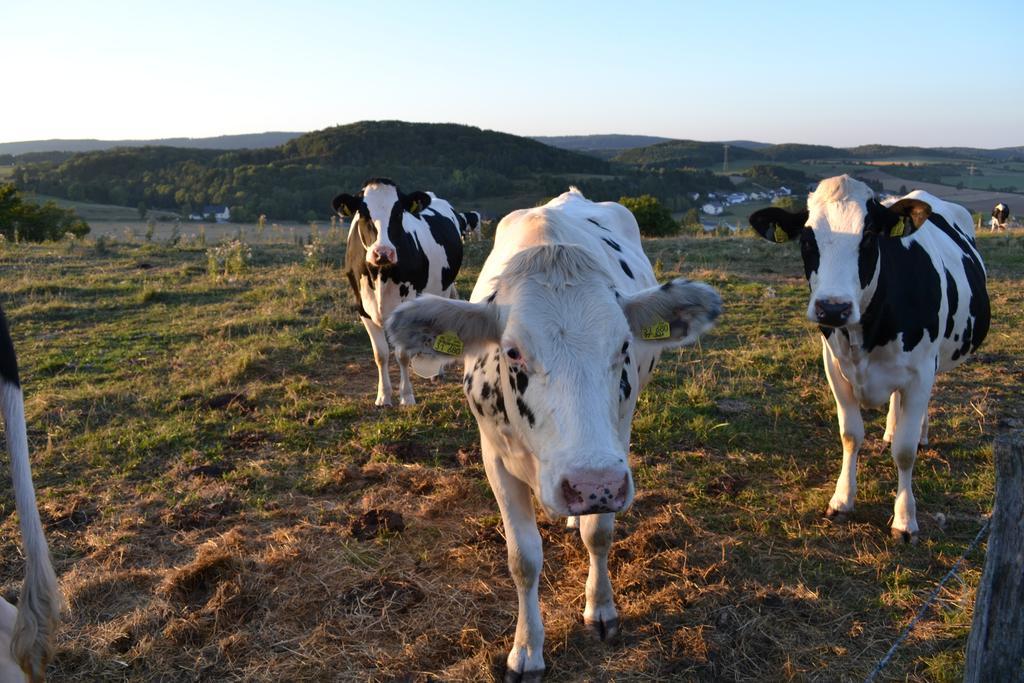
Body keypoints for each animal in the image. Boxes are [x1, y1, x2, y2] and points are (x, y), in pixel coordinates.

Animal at [333, 179, 466, 409]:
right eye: (363, 213)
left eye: (398, 213)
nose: (383, 252)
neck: (381, 274)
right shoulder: (363, 309)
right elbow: (381, 354)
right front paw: (383, 396)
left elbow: (402, 355)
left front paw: (406, 395)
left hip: (443, 289)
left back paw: (437, 372)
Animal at [385, 188, 720, 683]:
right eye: (512, 352)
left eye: (624, 346)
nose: (590, 485)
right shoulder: (494, 457)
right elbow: (523, 559)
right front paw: (526, 649)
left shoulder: (617, 448)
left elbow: (599, 534)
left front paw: (600, 608)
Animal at [749, 175, 987, 544]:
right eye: (807, 239)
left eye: (871, 236)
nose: (833, 308)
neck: (867, 333)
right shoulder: (834, 366)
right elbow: (851, 435)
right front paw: (842, 499)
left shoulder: (920, 372)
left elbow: (904, 451)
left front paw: (904, 519)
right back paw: (890, 428)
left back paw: (920, 432)